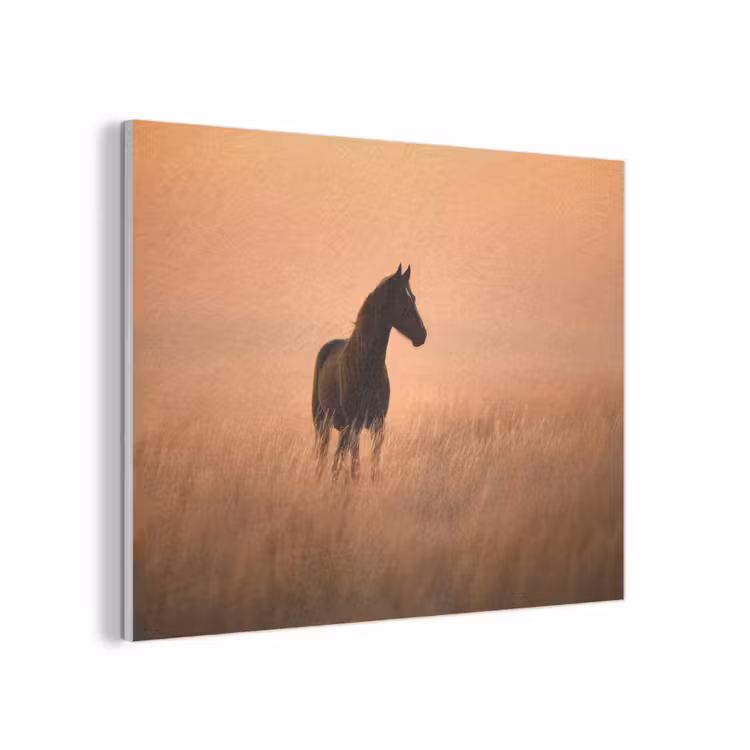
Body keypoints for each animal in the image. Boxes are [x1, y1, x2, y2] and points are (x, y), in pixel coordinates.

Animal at [311, 263, 427, 480]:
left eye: (413, 297)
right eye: (400, 299)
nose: (422, 335)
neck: (366, 367)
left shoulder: (378, 424)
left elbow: (374, 465)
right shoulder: (355, 425)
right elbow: (355, 467)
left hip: (342, 426)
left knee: (337, 457)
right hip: (322, 421)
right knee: (323, 453)